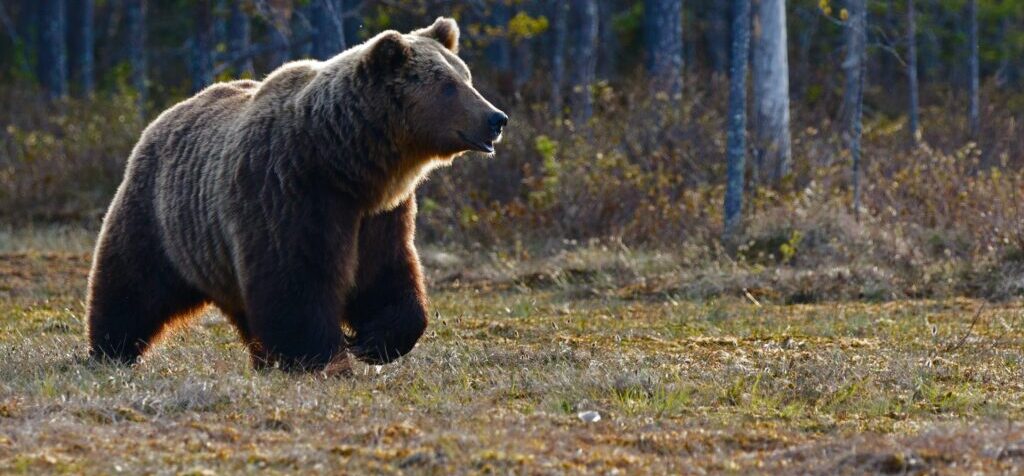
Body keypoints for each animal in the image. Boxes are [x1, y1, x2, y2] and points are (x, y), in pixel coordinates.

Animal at [85, 17, 507, 373]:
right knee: (132, 283)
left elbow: (386, 274)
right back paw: (110, 350)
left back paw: (261, 358)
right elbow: (295, 280)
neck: (346, 163)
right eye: (448, 85)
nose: (496, 118)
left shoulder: (380, 214)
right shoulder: (289, 191)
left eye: (466, 76)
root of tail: (164, 115)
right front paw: (323, 357)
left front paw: (373, 342)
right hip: (161, 216)